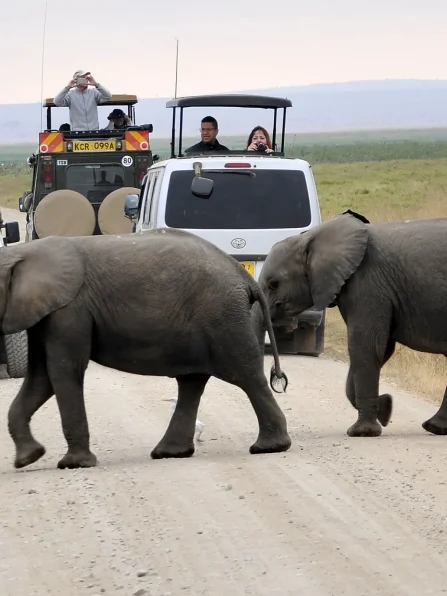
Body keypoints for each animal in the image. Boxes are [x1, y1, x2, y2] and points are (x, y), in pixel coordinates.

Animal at [0, 226, 294, 468]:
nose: (27, 457)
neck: (23, 252)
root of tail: (244, 276)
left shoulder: (70, 310)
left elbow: (63, 371)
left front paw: (73, 465)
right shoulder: (44, 314)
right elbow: (41, 377)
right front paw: (28, 458)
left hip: (222, 316)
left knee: (245, 374)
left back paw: (269, 447)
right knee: (192, 382)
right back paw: (170, 453)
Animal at [258, 210, 447, 438]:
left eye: (273, 285)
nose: (278, 378)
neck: (311, 237)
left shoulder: (367, 282)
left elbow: (365, 345)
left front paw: (362, 432)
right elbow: (380, 349)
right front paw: (385, 408)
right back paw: (435, 427)